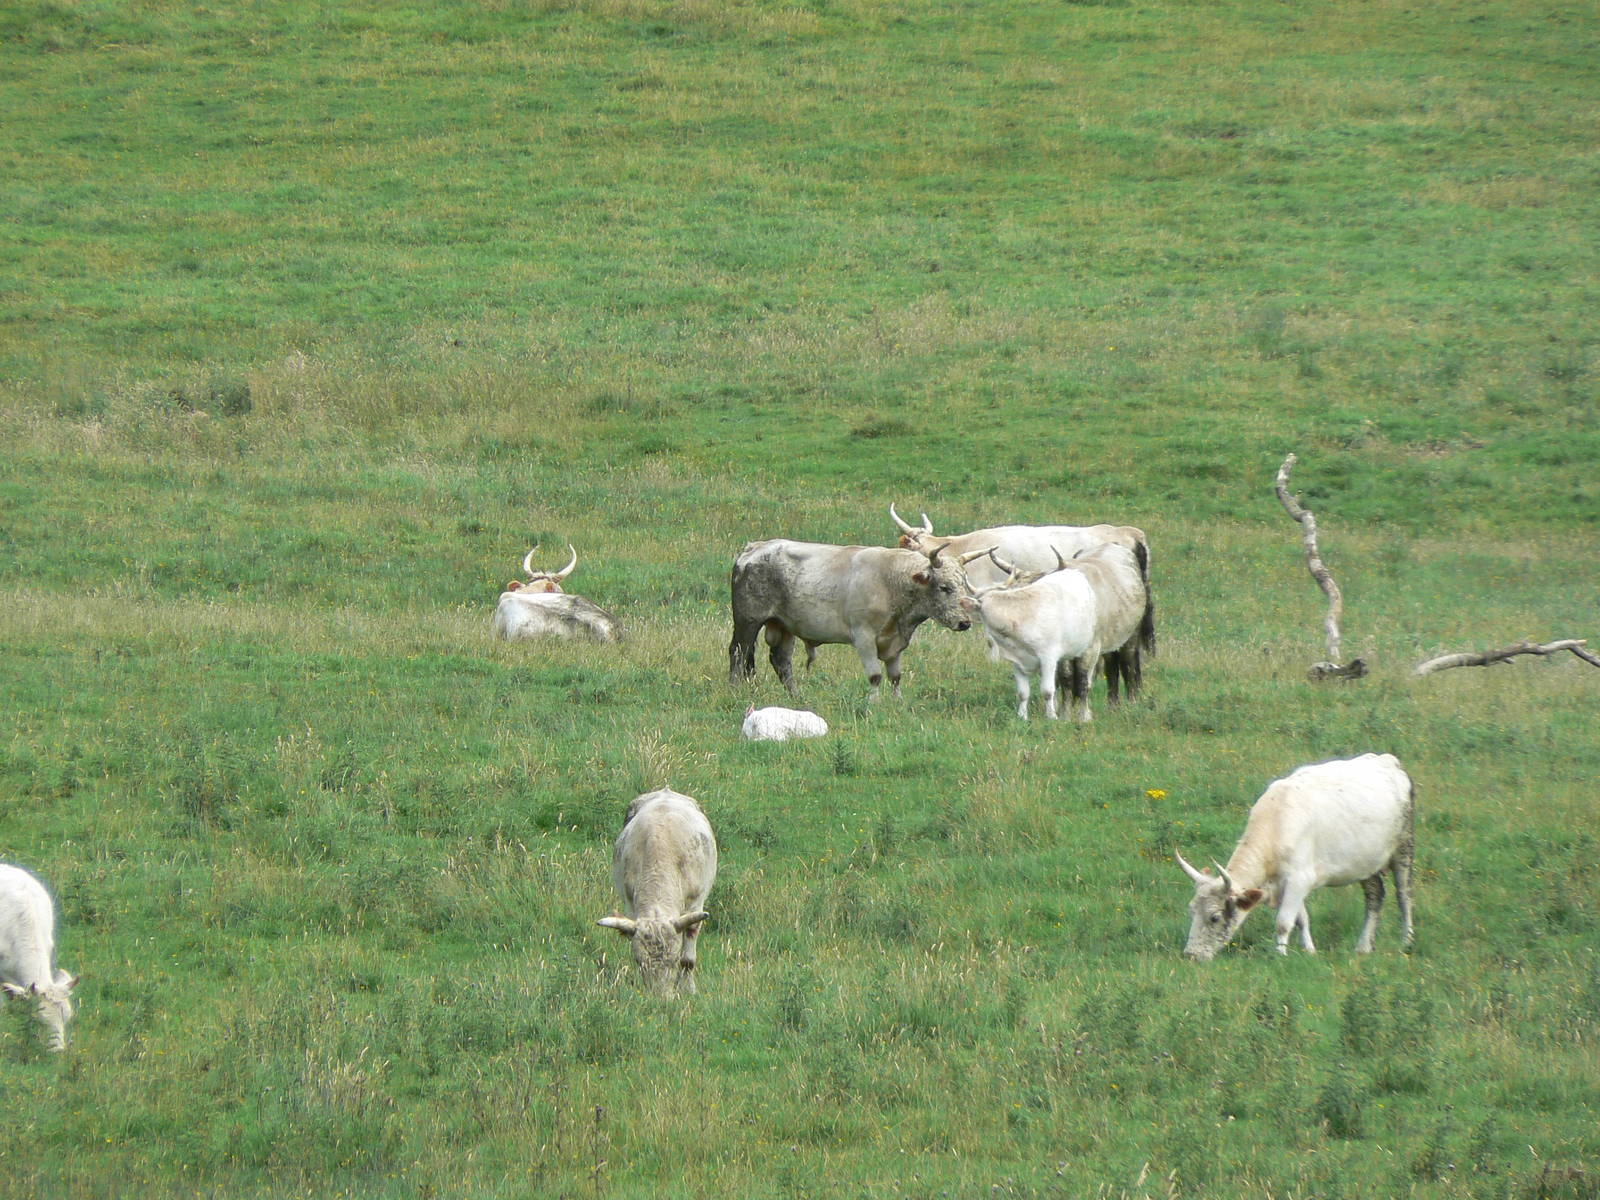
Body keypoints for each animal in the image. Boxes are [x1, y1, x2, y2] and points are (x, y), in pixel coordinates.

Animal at [597, 789, 717, 997]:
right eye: (638, 961)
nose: (660, 998)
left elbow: (688, 959)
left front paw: (688, 989)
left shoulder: (696, 905)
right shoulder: (630, 905)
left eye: (674, 959)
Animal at [728, 539, 983, 699]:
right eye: (944, 587)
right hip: (748, 620)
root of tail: (754, 547)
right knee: (739, 652)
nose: (965, 623)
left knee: (781, 661)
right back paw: (735, 690)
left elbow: (895, 676)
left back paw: (796, 697)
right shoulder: (864, 636)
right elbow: (875, 676)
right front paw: (873, 704)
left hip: (784, 625)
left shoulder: (896, 641)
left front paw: (898, 703)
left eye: (964, 585)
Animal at [964, 542, 1150, 721]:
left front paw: (1083, 717)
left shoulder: (1088, 650)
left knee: (1128, 665)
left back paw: (1131, 702)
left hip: (1130, 636)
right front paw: (1065, 714)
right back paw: (1112, 705)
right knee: (1111, 669)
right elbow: (1065, 680)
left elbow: (1082, 682)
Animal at [1176, 753, 1416, 961]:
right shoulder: (1288, 883)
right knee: (1375, 896)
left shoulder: (1299, 878)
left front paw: (1279, 955)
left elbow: (1284, 922)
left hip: (1404, 846)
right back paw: (1363, 946)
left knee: (1403, 895)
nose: (1191, 955)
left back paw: (1406, 941)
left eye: (1214, 917)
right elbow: (1301, 919)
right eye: (1191, 909)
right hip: (1366, 863)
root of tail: (1387, 760)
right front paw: (1309, 950)